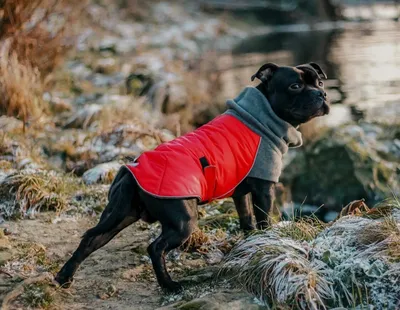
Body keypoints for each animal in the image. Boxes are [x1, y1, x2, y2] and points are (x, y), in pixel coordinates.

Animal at [56, 62, 330, 294]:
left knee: (91, 240)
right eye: (295, 86)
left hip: (119, 215)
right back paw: (169, 285)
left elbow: (246, 219)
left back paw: (64, 277)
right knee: (155, 248)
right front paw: (267, 240)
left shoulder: (241, 193)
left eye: (319, 83)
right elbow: (263, 220)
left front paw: (251, 241)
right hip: (183, 221)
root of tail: (131, 171)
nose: (322, 95)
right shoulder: (264, 187)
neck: (262, 118)